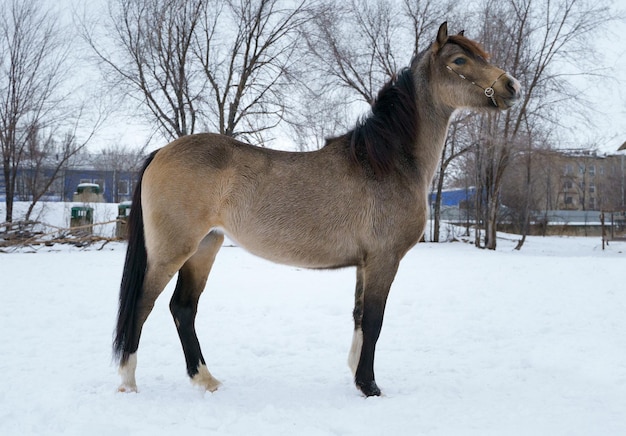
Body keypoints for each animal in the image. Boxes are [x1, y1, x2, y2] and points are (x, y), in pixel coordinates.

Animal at [112, 22, 516, 396]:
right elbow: (374, 321)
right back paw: (128, 383)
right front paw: (370, 386)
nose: (511, 85)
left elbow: (359, 317)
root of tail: (161, 151)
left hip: (206, 246)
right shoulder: (384, 259)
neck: (385, 161)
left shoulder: (365, 263)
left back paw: (205, 379)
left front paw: (355, 375)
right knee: (142, 305)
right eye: (460, 60)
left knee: (183, 308)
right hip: (173, 250)